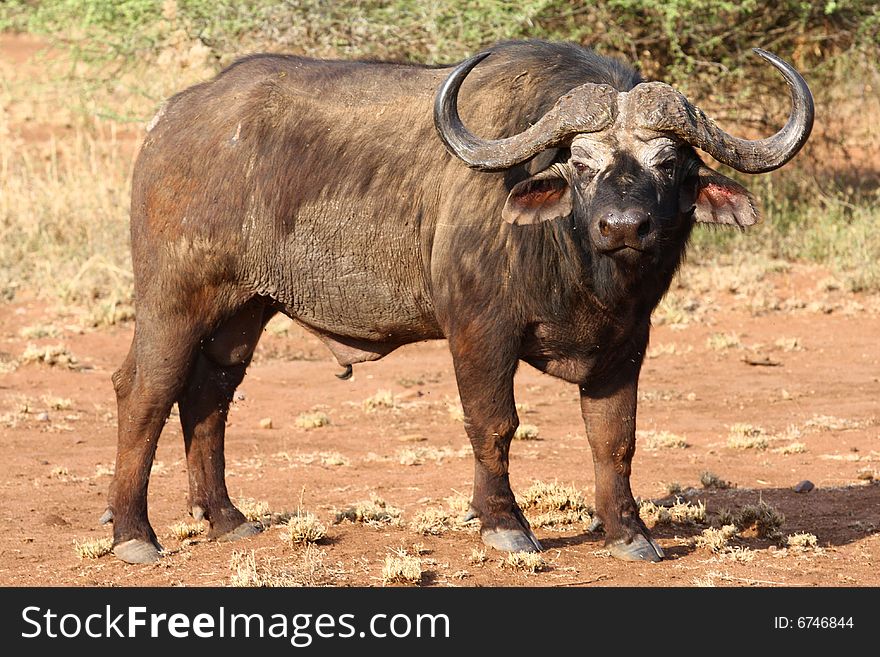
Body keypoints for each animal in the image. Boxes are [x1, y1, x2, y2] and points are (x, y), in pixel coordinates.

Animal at [103, 39, 812, 564]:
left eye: (667, 163)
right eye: (581, 163)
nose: (624, 226)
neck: (577, 264)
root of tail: (172, 118)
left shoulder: (626, 345)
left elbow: (616, 439)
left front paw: (629, 534)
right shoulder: (479, 330)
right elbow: (493, 424)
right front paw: (505, 525)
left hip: (242, 312)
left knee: (208, 395)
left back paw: (226, 518)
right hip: (173, 301)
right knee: (145, 392)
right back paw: (134, 534)